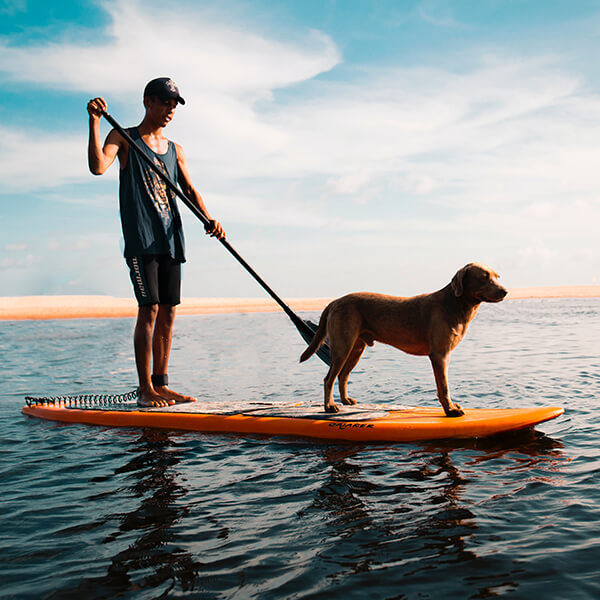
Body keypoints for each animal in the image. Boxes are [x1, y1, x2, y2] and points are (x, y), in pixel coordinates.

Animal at [300, 262, 506, 418]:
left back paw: (345, 401)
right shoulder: (440, 355)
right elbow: (444, 387)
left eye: (497, 276)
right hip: (342, 345)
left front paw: (451, 407)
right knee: (329, 378)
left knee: (343, 375)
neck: (456, 305)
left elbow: (442, 386)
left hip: (356, 347)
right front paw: (450, 410)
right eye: (484, 277)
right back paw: (330, 406)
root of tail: (334, 301)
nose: (505, 291)